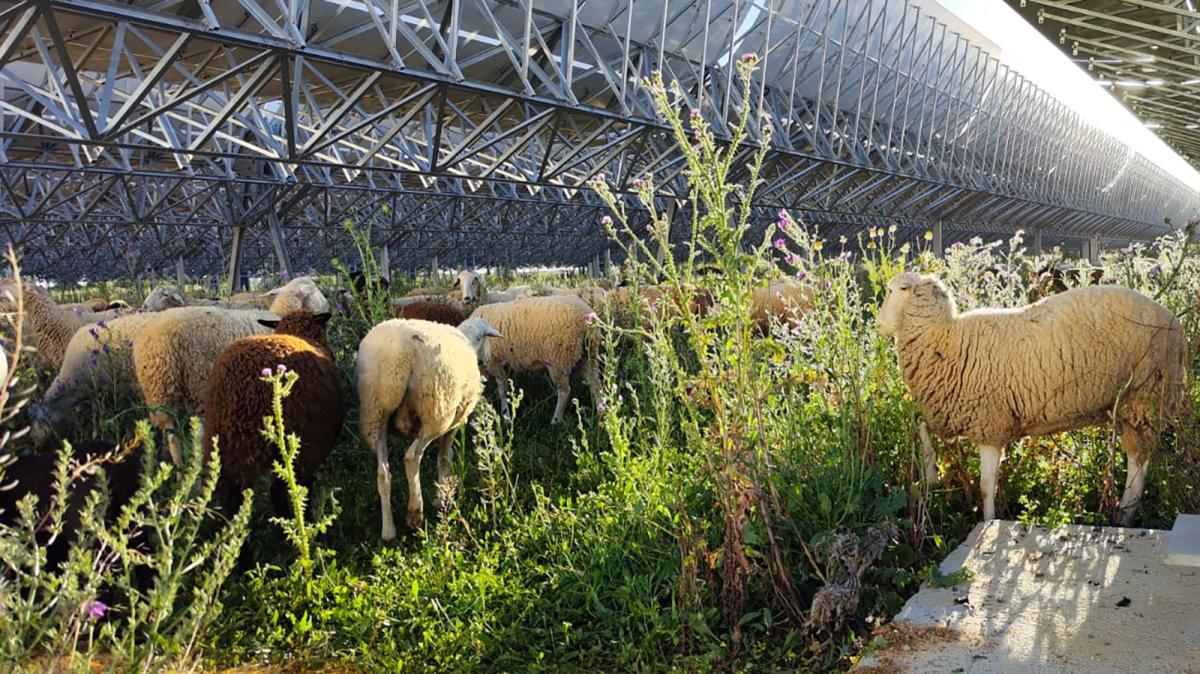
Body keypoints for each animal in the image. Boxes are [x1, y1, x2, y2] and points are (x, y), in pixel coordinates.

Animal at [132, 275, 328, 465]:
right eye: (314, 289)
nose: (327, 306)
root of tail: (159, 342)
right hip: (198, 382)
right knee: (199, 434)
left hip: (160, 391)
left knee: (172, 436)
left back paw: (180, 470)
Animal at [360, 311, 501, 537]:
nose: (488, 362)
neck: (468, 340)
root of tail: (396, 356)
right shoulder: (455, 421)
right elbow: (445, 457)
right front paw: (442, 497)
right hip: (435, 411)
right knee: (411, 457)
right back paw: (415, 512)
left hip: (375, 414)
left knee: (383, 472)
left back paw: (388, 530)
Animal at [468, 295, 600, 422]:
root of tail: (584, 316)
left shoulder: (495, 363)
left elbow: (502, 391)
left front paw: (506, 416)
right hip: (588, 356)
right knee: (595, 385)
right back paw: (601, 411)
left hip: (559, 359)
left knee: (565, 391)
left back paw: (556, 420)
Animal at [878, 269, 1185, 522]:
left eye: (895, 290)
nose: (878, 326)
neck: (944, 340)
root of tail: (1175, 324)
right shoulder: (952, 412)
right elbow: (920, 424)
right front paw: (930, 474)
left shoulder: (989, 423)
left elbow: (986, 487)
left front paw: (988, 522)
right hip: (1127, 406)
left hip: (1144, 396)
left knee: (1138, 463)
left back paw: (1125, 515)